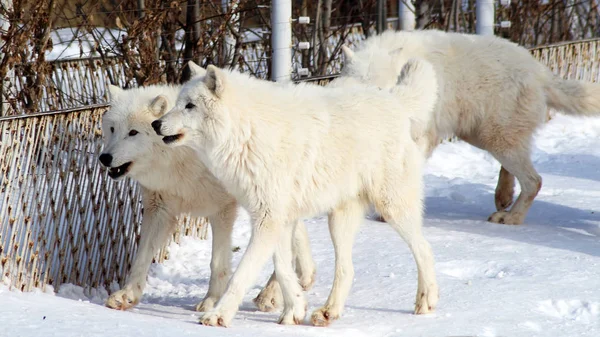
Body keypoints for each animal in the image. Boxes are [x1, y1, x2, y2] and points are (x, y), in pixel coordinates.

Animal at [99, 68, 316, 312]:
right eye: (112, 129)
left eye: (133, 132)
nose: (104, 158)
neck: (180, 157)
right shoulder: (159, 209)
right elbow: (141, 257)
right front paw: (127, 295)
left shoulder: (222, 209)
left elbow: (217, 262)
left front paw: (211, 300)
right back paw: (299, 280)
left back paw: (272, 294)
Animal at [152, 59, 438, 326]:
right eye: (177, 103)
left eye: (190, 106)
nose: (156, 123)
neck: (247, 131)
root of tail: (393, 100)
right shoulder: (278, 219)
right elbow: (283, 267)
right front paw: (295, 309)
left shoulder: (268, 219)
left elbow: (243, 273)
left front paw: (218, 315)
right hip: (338, 222)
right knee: (347, 269)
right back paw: (327, 312)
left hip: (392, 209)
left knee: (425, 249)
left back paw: (426, 301)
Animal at [340, 28, 600, 223]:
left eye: (382, 90)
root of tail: (540, 70)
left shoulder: (421, 138)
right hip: (482, 137)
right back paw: (503, 198)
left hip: (495, 139)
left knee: (534, 181)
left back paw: (511, 218)